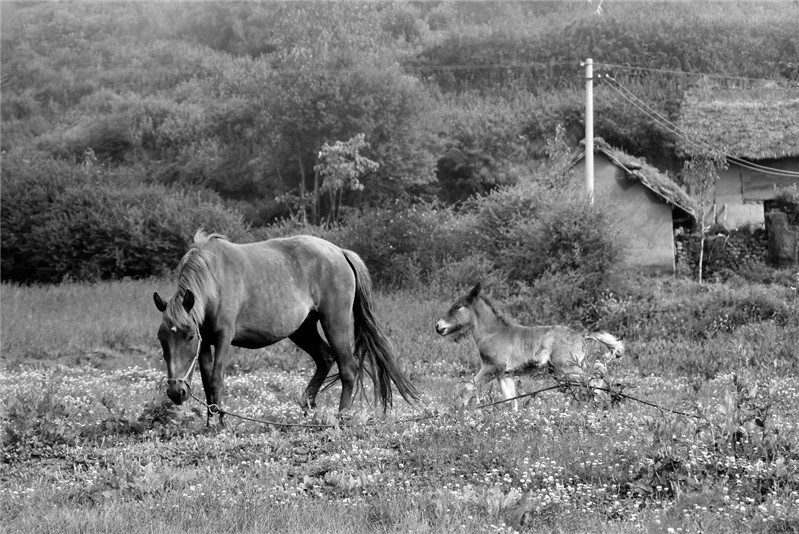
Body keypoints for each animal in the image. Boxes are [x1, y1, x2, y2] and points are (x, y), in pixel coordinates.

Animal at [153, 231, 422, 428]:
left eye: (188, 336)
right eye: (162, 339)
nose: (176, 392)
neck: (214, 278)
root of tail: (340, 252)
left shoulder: (222, 338)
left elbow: (217, 379)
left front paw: (222, 424)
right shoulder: (206, 341)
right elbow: (208, 381)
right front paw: (211, 423)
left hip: (335, 322)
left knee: (348, 368)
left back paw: (340, 417)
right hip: (302, 330)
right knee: (325, 358)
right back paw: (308, 408)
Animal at [438, 284, 624, 410]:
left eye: (457, 306)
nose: (438, 327)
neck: (493, 333)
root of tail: (581, 336)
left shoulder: (492, 368)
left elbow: (468, 387)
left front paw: (460, 411)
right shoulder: (504, 375)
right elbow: (511, 401)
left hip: (566, 369)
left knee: (593, 379)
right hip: (573, 366)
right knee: (597, 374)